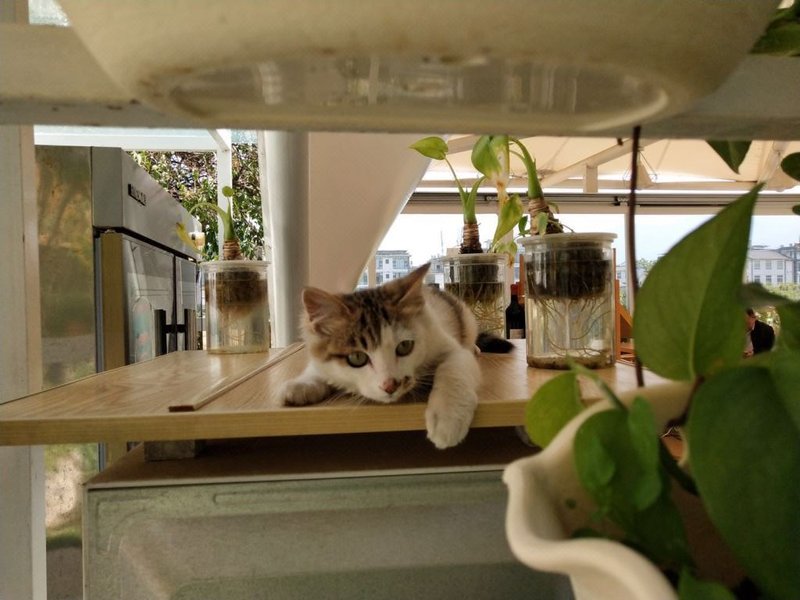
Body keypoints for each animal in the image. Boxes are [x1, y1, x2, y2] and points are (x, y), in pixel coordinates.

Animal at [278, 262, 513, 449]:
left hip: (466, 318)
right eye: (357, 358)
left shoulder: (452, 349)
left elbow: (452, 371)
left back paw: (476, 348)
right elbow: (317, 368)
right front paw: (300, 386)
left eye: (405, 347)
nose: (390, 385)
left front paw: (447, 418)